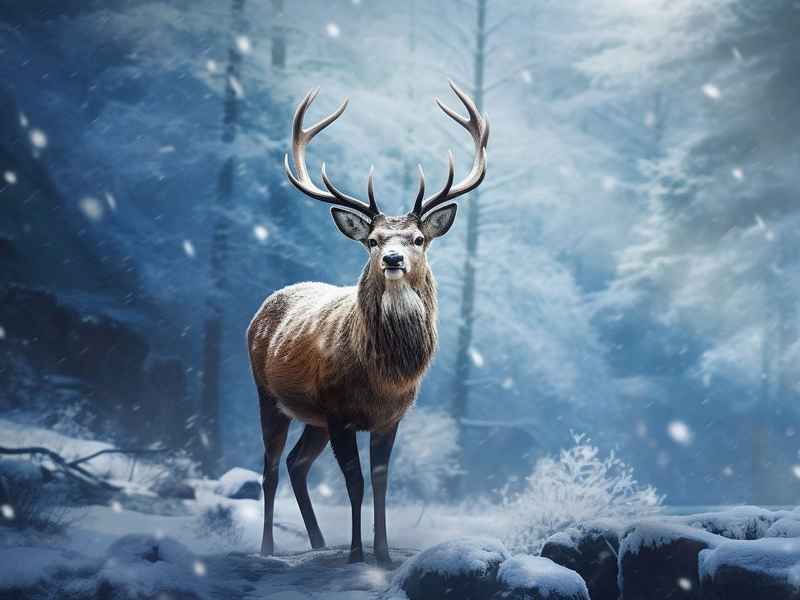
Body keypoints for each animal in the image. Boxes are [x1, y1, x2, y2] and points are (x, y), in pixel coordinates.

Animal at [247, 81, 488, 566]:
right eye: (373, 241)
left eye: (418, 238)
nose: (393, 259)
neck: (382, 375)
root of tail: (260, 310)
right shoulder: (339, 412)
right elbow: (354, 483)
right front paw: (358, 554)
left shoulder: (389, 418)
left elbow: (380, 483)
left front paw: (383, 553)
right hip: (269, 395)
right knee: (270, 466)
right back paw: (268, 547)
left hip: (313, 418)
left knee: (297, 463)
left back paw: (319, 542)